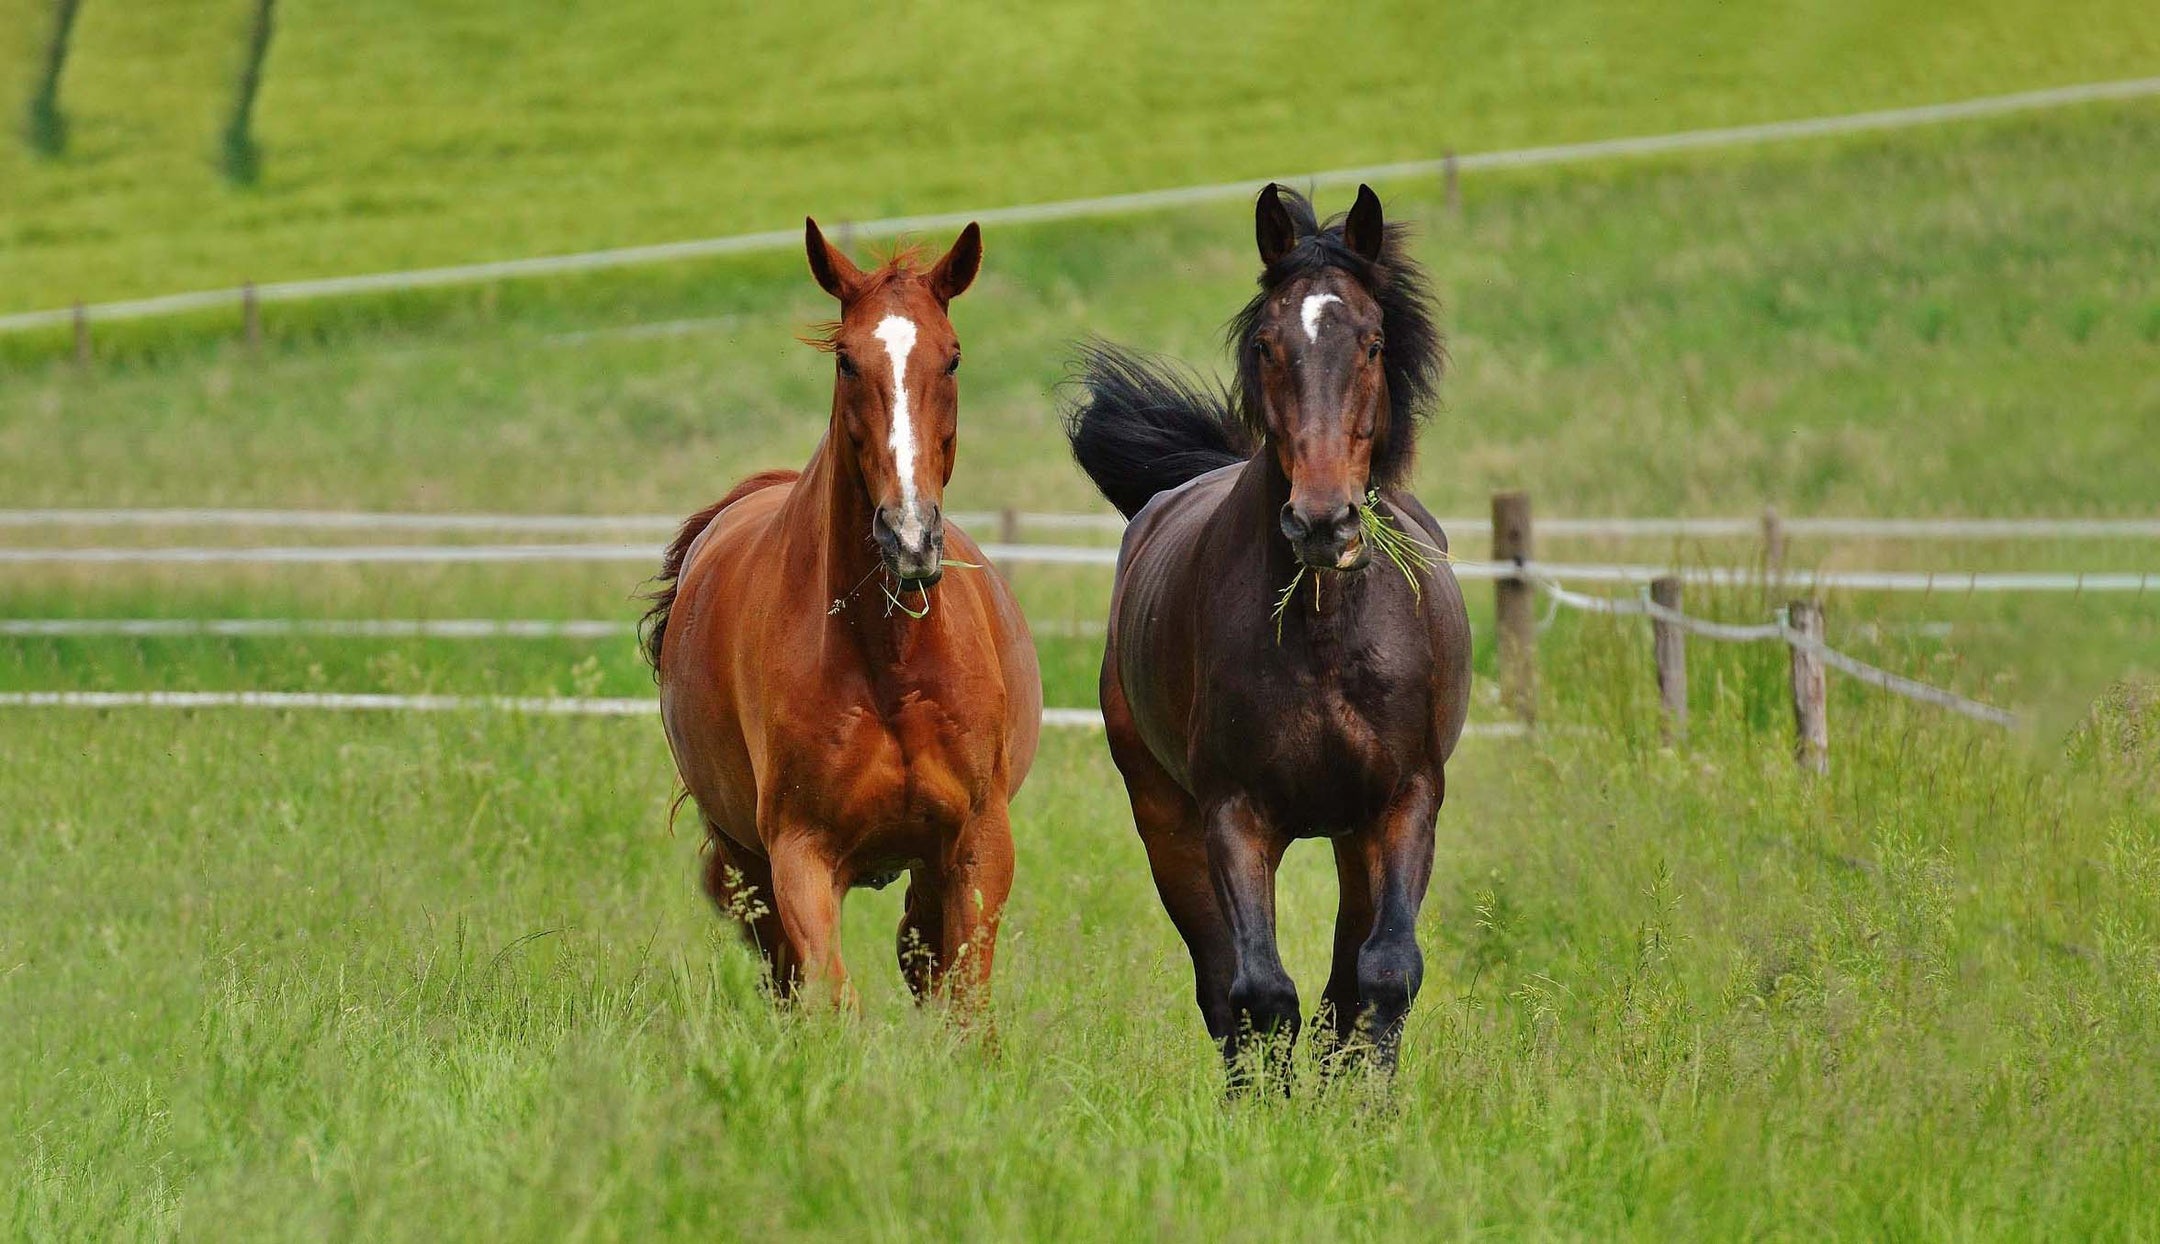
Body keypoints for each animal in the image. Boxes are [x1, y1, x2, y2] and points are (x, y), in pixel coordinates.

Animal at [643, 218, 1041, 1006]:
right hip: (747, 859)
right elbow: (829, 996)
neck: (889, 663)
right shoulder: (800, 853)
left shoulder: (978, 845)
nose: (909, 536)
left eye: (952, 358)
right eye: (847, 362)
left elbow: (962, 1001)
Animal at [1062, 184, 1468, 1079]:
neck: (1324, 635)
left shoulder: (1406, 799)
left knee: (1345, 979)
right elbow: (1258, 992)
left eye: (1374, 341)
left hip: (1354, 834)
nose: (1321, 521)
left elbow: (1383, 974)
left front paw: (1371, 1105)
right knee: (1223, 986)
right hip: (1167, 822)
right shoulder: (1233, 815)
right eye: (1266, 343)